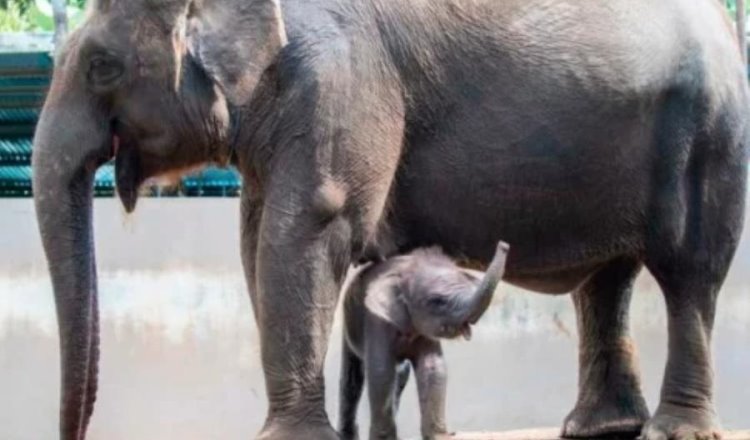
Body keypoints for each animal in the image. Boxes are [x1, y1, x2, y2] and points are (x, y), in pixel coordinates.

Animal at [340, 242, 512, 438]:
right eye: (436, 301)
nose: (504, 245)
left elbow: (433, 368)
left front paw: (439, 436)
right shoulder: (376, 322)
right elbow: (380, 370)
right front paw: (384, 438)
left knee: (400, 374)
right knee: (352, 381)